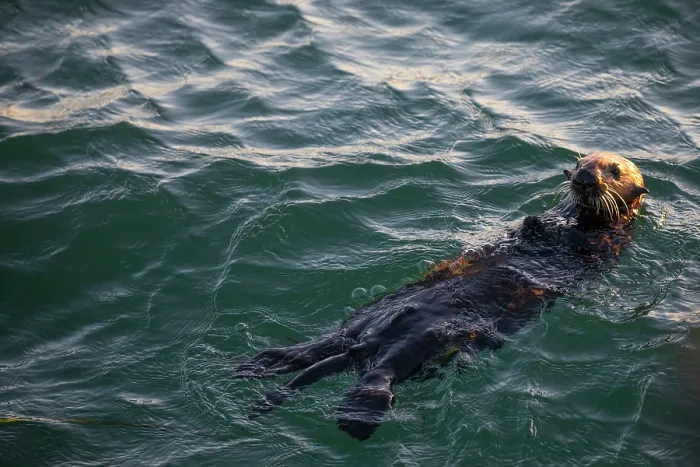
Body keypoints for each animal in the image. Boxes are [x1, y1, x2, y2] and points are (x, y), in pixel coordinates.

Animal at [235, 151, 649, 441]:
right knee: (322, 347)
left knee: (378, 374)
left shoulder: (604, 246)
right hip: (366, 320)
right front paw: (533, 223)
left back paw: (356, 415)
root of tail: (368, 345)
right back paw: (263, 363)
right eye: (579, 162)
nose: (582, 178)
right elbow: (536, 223)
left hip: (424, 342)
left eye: (613, 170)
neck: (578, 220)